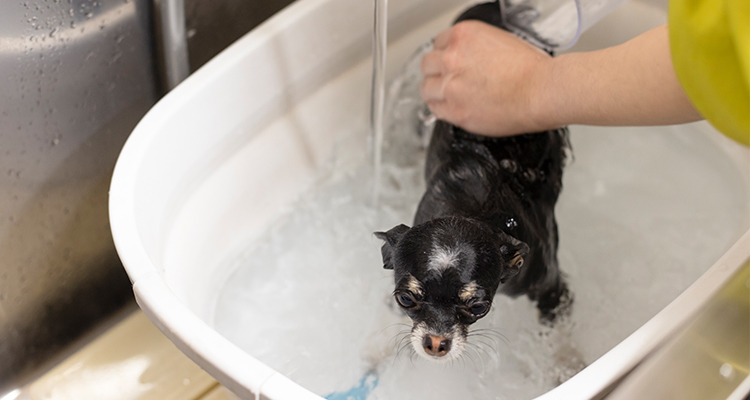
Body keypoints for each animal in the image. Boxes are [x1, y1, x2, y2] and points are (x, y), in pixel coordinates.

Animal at [376, 0, 576, 362]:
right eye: (406, 298)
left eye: (478, 305)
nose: (436, 343)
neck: (470, 202)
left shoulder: (550, 287)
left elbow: (560, 339)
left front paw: (568, 365)